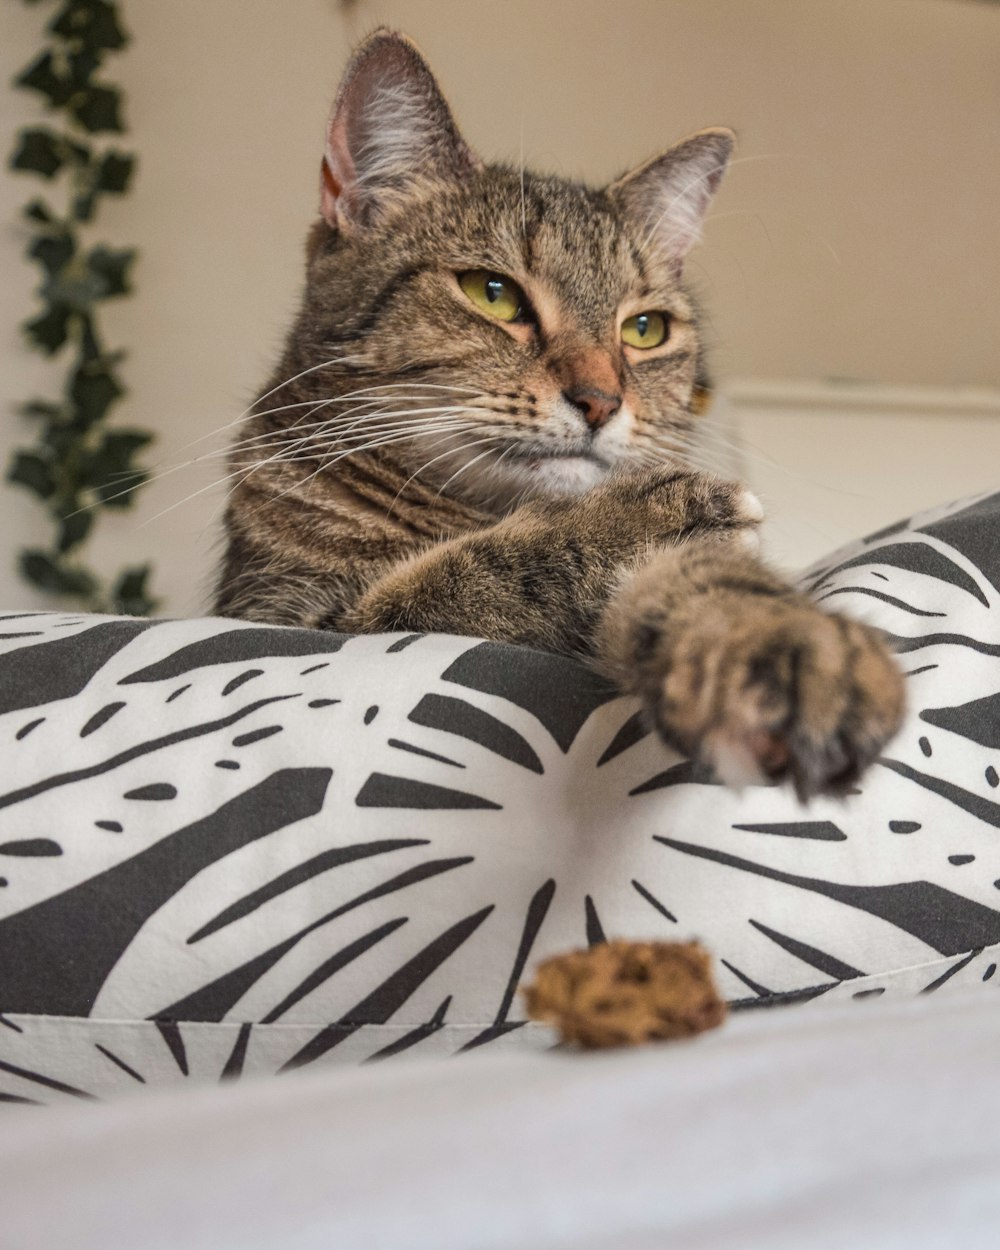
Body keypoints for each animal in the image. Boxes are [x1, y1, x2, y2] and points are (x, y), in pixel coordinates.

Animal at [215, 29, 900, 800]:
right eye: (492, 293)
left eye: (645, 329)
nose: (602, 399)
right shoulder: (284, 619)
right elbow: (452, 579)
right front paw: (631, 524)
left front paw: (784, 643)